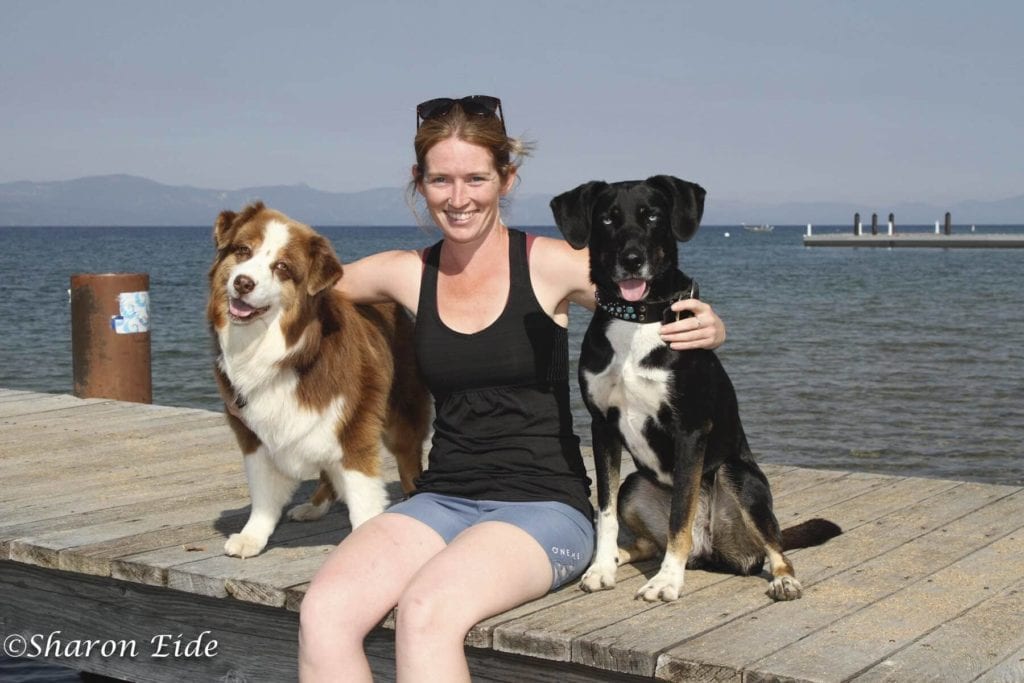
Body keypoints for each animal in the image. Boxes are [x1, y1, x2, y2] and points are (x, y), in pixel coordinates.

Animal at [207, 201, 432, 557]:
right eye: (243, 250)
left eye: (282, 267)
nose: (243, 283)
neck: (286, 353)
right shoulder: (252, 434)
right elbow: (263, 492)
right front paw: (253, 535)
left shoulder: (354, 427)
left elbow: (362, 496)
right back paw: (315, 506)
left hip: (401, 419)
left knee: (409, 466)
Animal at [552, 176, 839, 602]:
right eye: (607, 219)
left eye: (652, 216)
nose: (632, 259)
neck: (637, 321)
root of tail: (712, 548)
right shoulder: (602, 427)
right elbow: (604, 512)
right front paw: (602, 568)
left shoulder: (689, 430)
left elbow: (679, 516)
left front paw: (667, 581)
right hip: (635, 485)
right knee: (647, 541)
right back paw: (621, 556)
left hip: (739, 478)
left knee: (775, 545)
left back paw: (783, 578)